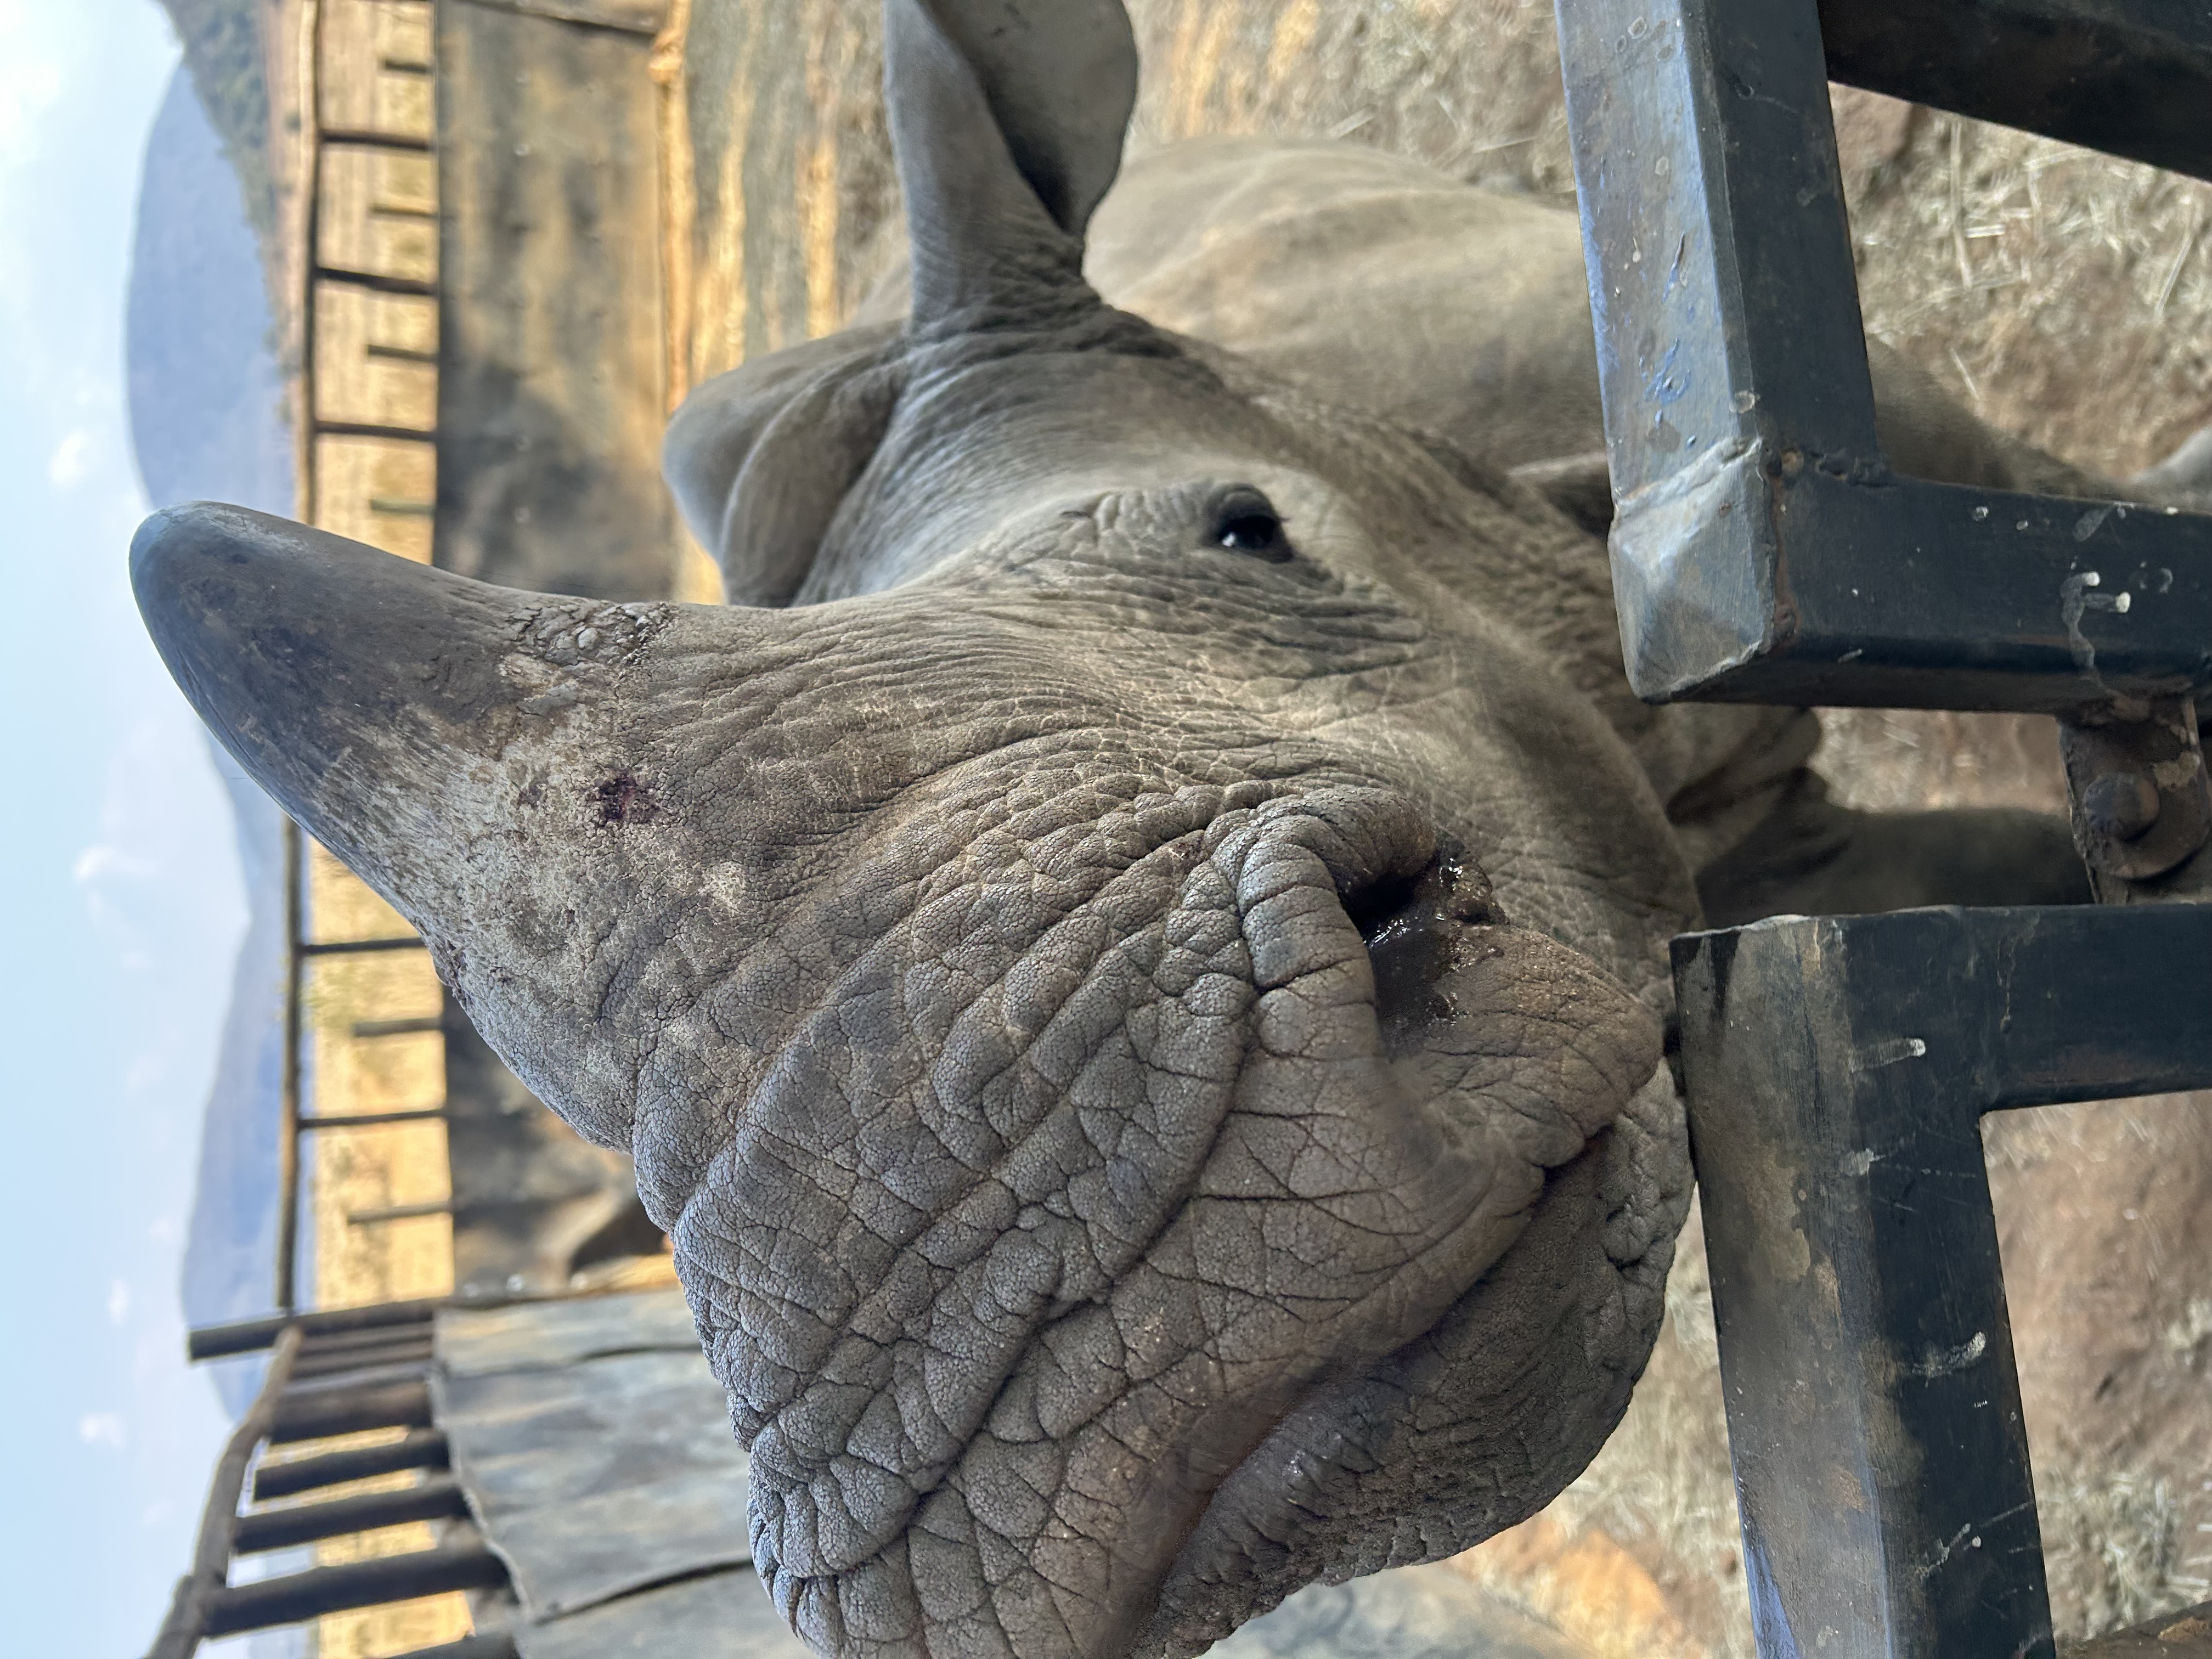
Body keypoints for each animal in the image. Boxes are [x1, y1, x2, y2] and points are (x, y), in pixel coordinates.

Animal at [133, 2, 2205, 1655]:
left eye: (1249, 532)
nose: (1089, 1352)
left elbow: (1989, 483)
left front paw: (2154, 766)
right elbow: (1943, 908)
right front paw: (2143, 844)